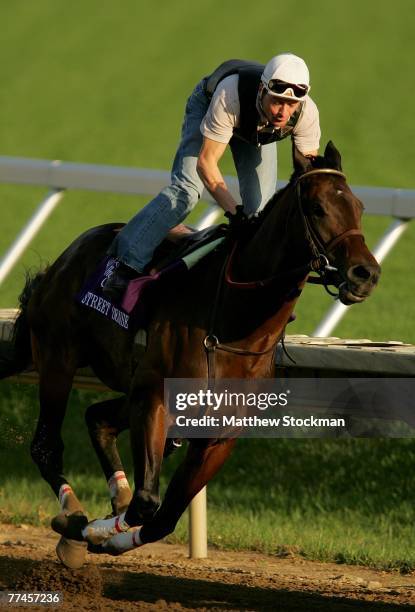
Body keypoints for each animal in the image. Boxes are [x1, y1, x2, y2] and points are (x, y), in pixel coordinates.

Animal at [0, 141, 380, 568]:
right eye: (317, 208)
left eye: (359, 206)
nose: (365, 273)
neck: (236, 322)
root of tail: (65, 258)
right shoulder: (155, 398)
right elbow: (147, 503)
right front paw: (90, 530)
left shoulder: (219, 433)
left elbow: (164, 517)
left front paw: (110, 536)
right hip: (57, 358)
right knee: (46, 446)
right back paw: (74, 515)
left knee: (97, 418)